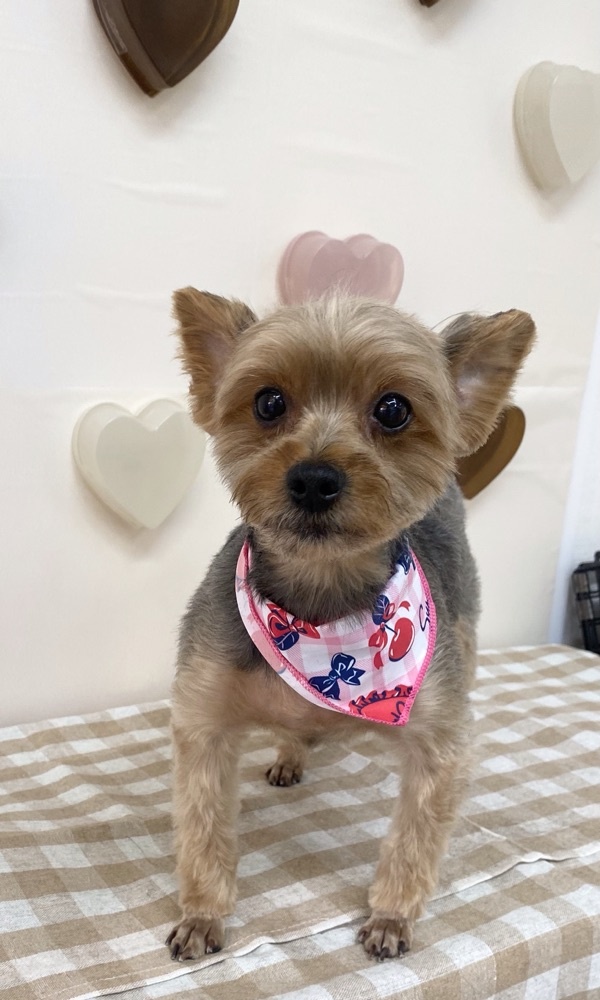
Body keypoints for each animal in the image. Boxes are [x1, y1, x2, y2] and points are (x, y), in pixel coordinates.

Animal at [166, 290, 535, 961]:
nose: (314, 478)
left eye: (393, 409)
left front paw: (391, 916)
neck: (319, 612)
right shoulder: (203, 714)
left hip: (463, 634)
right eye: (268, 402)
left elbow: (416, 836)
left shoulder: (439, 741)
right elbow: (204, 827)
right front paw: (202, 915)